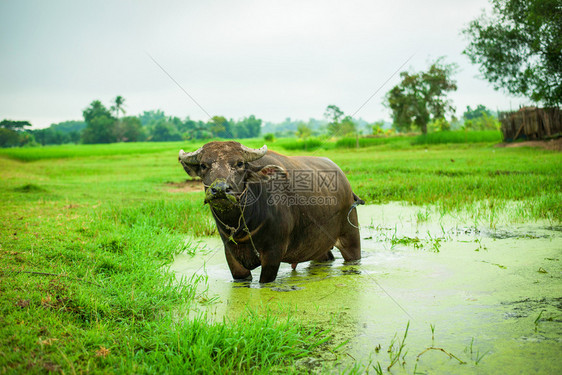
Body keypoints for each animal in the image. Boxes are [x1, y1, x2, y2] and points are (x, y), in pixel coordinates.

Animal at [179, 142, 364, 284]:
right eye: (203, 165)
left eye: (239, 164)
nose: (220, 189)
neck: (243, 223)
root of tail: (346, 184)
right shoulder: (231, 255)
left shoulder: (273, 254)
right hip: (318, 247)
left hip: (351, 237)